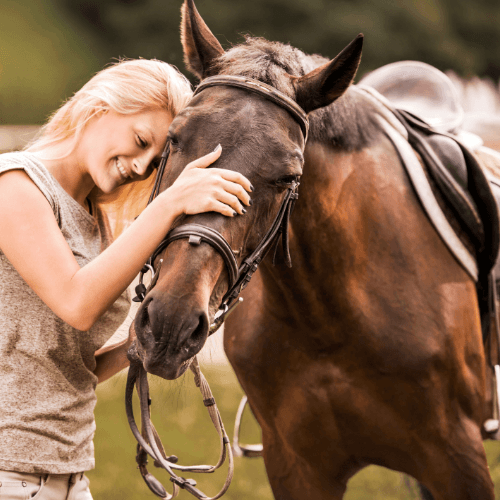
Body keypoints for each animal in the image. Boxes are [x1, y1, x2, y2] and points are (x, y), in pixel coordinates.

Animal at [131, 1, 498, 498]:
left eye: (288, 176)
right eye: (174, 139)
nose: (171, 324)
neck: (328, 316)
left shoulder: (458, 460)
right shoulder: (298, 466)